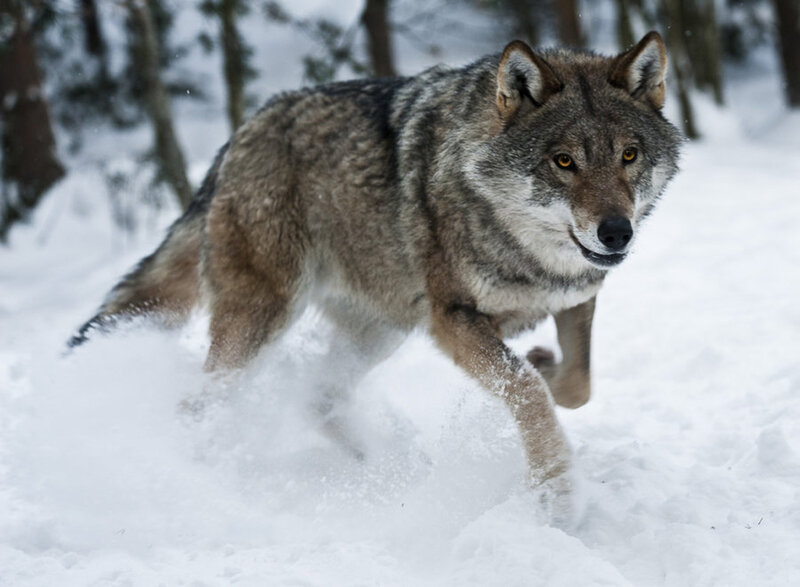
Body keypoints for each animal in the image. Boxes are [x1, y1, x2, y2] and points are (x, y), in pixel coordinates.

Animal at [70, 32, 681, 507]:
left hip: (381, 330)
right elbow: (528, 393)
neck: (523, 247)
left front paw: (545, 365)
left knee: (319, 398)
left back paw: (385, 472)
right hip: (265, 320)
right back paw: (205, 476)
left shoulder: (574, 299)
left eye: (628, 156)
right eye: (563, 162)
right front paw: (559, 496)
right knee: (200, 404)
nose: (616, 233)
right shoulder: (451, 320)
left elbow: (576, 385)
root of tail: (238, 136)